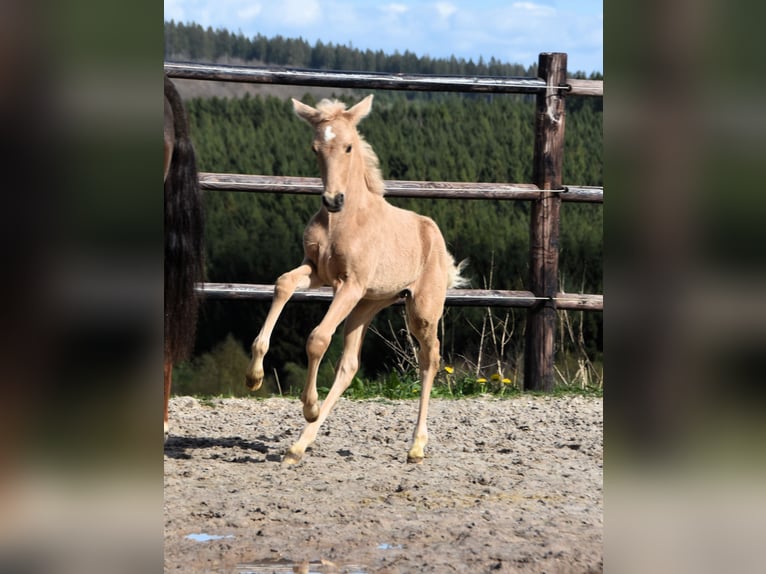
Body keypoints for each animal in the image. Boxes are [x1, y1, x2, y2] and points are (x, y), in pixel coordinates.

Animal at [246, 94, 464, 464]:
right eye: (315, 147)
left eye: (348, 146)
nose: (333, 200)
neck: (342, 221)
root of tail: (435, 236)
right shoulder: (317, 271)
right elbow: (283, 283)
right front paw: (254, 376)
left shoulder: (350, 284)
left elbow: (317, 338)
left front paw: (309, 406)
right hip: (367, 305)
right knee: (349, 366)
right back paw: (298, 446)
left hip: (420, 309)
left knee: (430, 359)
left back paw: (416, 446)